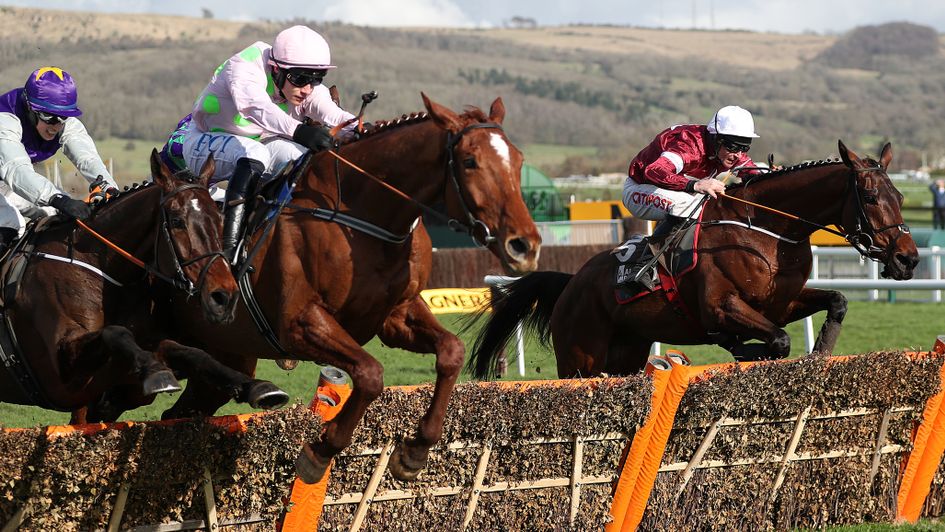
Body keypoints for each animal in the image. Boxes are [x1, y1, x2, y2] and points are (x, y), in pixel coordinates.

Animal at [3, 150, 282, 420]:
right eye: (177, 221)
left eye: (221, 220)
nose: (224, 297)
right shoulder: (62, 374)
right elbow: (115, 332)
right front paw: (157, 372)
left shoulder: (120, 374)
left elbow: (189, 352)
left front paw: (253, 385)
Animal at [154, 93, 540, 484]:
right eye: (470, 161)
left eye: (519, 160)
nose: (524, 246)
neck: (361, 217)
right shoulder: (299, 324)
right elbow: (370, 375)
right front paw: (321, 450)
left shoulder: (396, 315)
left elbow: (451, 352)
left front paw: (415, 450)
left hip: (226, 360)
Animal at [468, 141, 920, 378]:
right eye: (872, 197)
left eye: (900, 196)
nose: (908, 259)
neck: (765, 231)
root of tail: (570, 283)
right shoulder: (721, 307)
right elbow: (777, 340)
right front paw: (743, 350)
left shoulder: (781, 303)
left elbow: (835, 302)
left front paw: (822, 349)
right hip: (580, 358)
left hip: (627, 352)